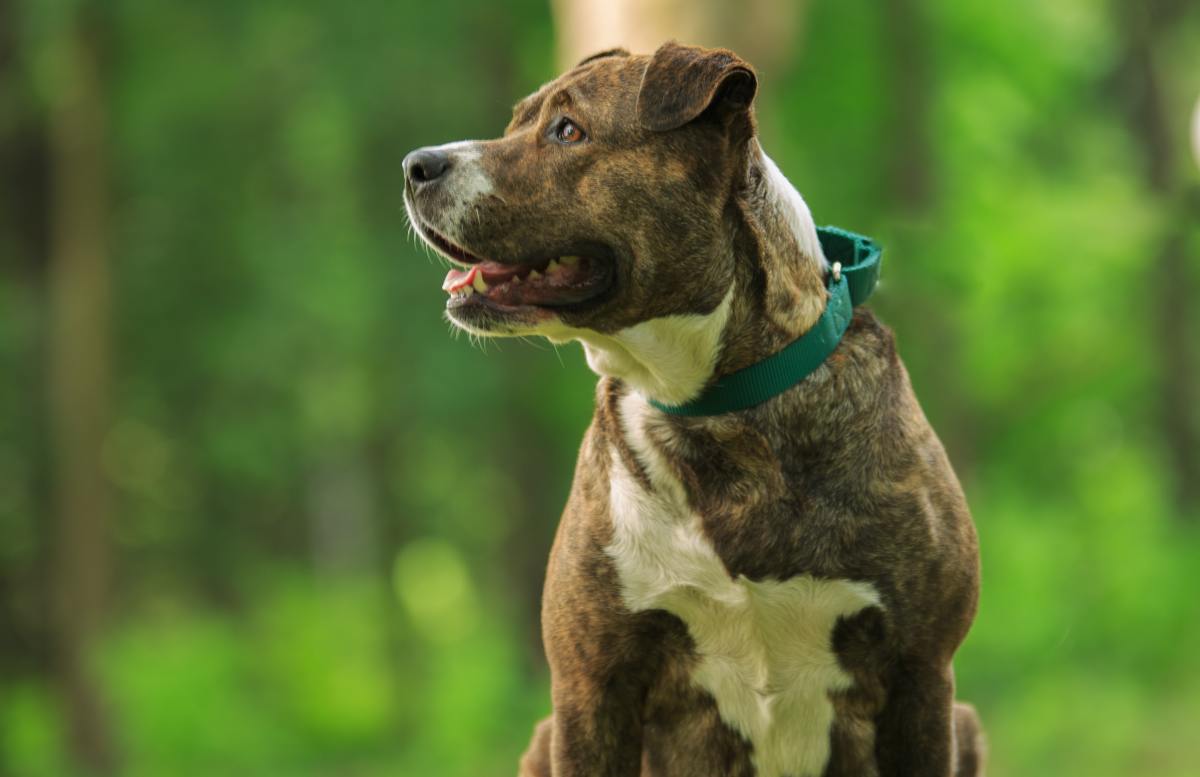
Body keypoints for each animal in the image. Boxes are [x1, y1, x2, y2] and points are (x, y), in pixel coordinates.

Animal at [403, 41, 984, 777]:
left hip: (963, 722)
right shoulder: (592, 685)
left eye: (568, 131)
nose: (415, 165)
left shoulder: (921, 676)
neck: (711, 409)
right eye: (516, 122)